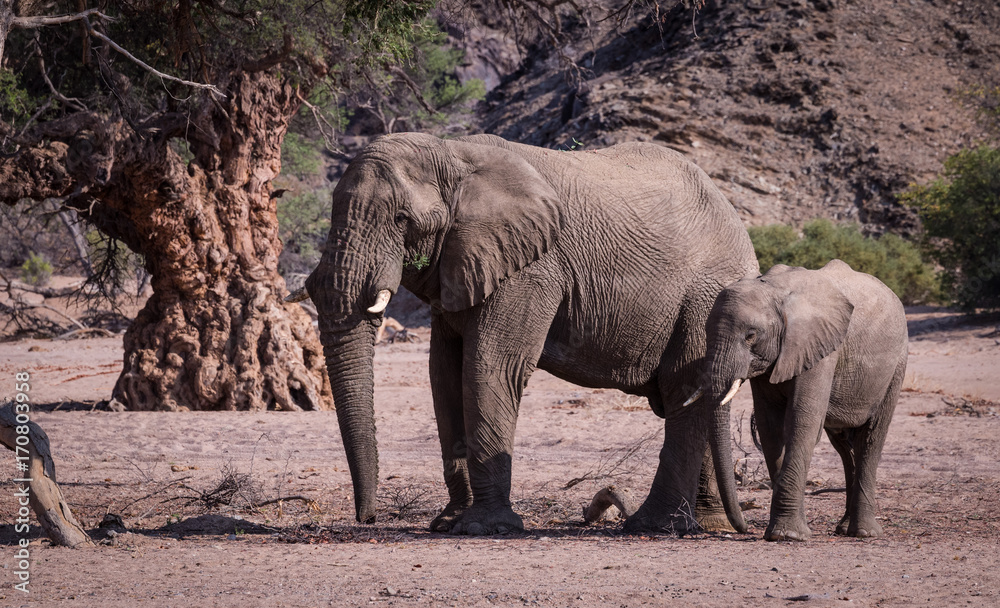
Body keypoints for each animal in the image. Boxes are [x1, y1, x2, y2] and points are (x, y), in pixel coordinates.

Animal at [291, 132, 759, 534]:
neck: (453, 153)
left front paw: (483, 528)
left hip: (704, 299)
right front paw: (449, 523)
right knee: (694, 394)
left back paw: (654, 526)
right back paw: (708, 524)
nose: (367, 518)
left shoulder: (532, 269)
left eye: (402, 219)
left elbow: (490, 367)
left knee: (682, 389)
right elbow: (444, 374)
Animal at [690, 259, 908, 541]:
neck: (774, 291)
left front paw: (787, 535)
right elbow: (770, 428)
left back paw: (864, 533)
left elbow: (801, 422)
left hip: (897, 364)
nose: (744, 527)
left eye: (750, 335)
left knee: (871, 437)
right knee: (844, 446)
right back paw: (844, 528)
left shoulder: (820, 347)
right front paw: (781, 531)